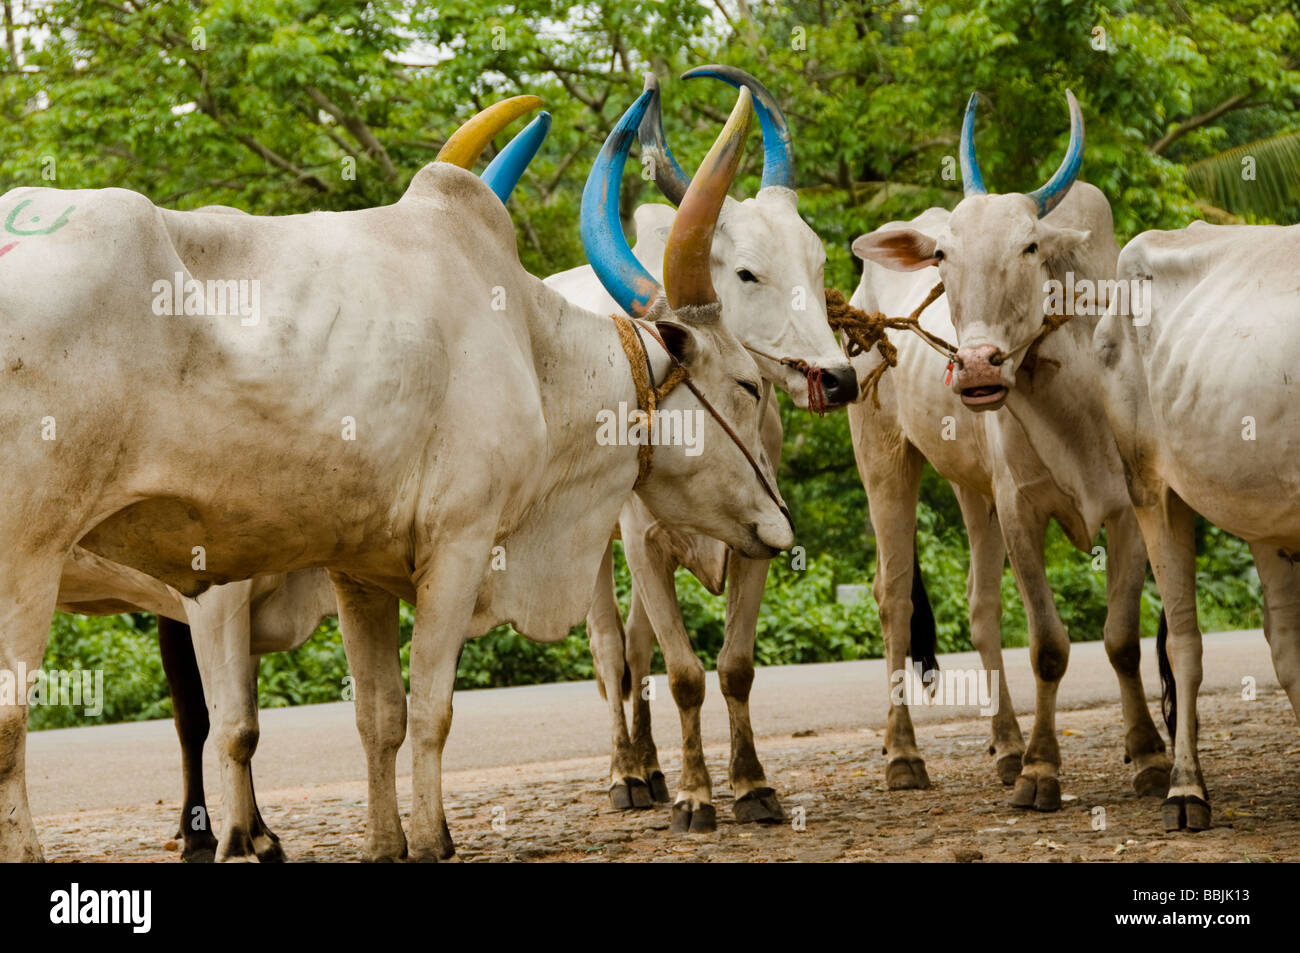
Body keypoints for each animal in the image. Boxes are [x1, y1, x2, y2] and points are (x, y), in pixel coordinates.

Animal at [0, 89, 790, 858]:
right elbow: (427, 710)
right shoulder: (457, 546)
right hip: (28, 557)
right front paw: (433, 838)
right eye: (749, 386)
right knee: (12, 727)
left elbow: (377, 716)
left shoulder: (356, 569)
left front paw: (385, 843)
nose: (780, 523)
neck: (531, 348)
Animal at [546, 65, 857, 826]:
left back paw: (650, 767)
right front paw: (694, 794)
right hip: (594, 545)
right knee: (611, 652)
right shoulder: (643, 543)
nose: (838, 377)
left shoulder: (758, 538)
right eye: (746, 272)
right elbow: (683, 673)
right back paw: (628, 774)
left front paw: (751, 785)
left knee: (634, 651)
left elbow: (733, 668)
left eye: (817, 261)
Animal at [852, 92, 1170, 806]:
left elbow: (1122, 640)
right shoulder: (1022, 508)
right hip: (885, 462)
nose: (976, 366)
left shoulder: (1126, 510)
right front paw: (1042, 769)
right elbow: (1049, 645)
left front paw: (1148, 755)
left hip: (974, 491)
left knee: (981, 607)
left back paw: (1003, 744)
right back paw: (904, 753)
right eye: (943, 255)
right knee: (894, 598)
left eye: (1029, 246)